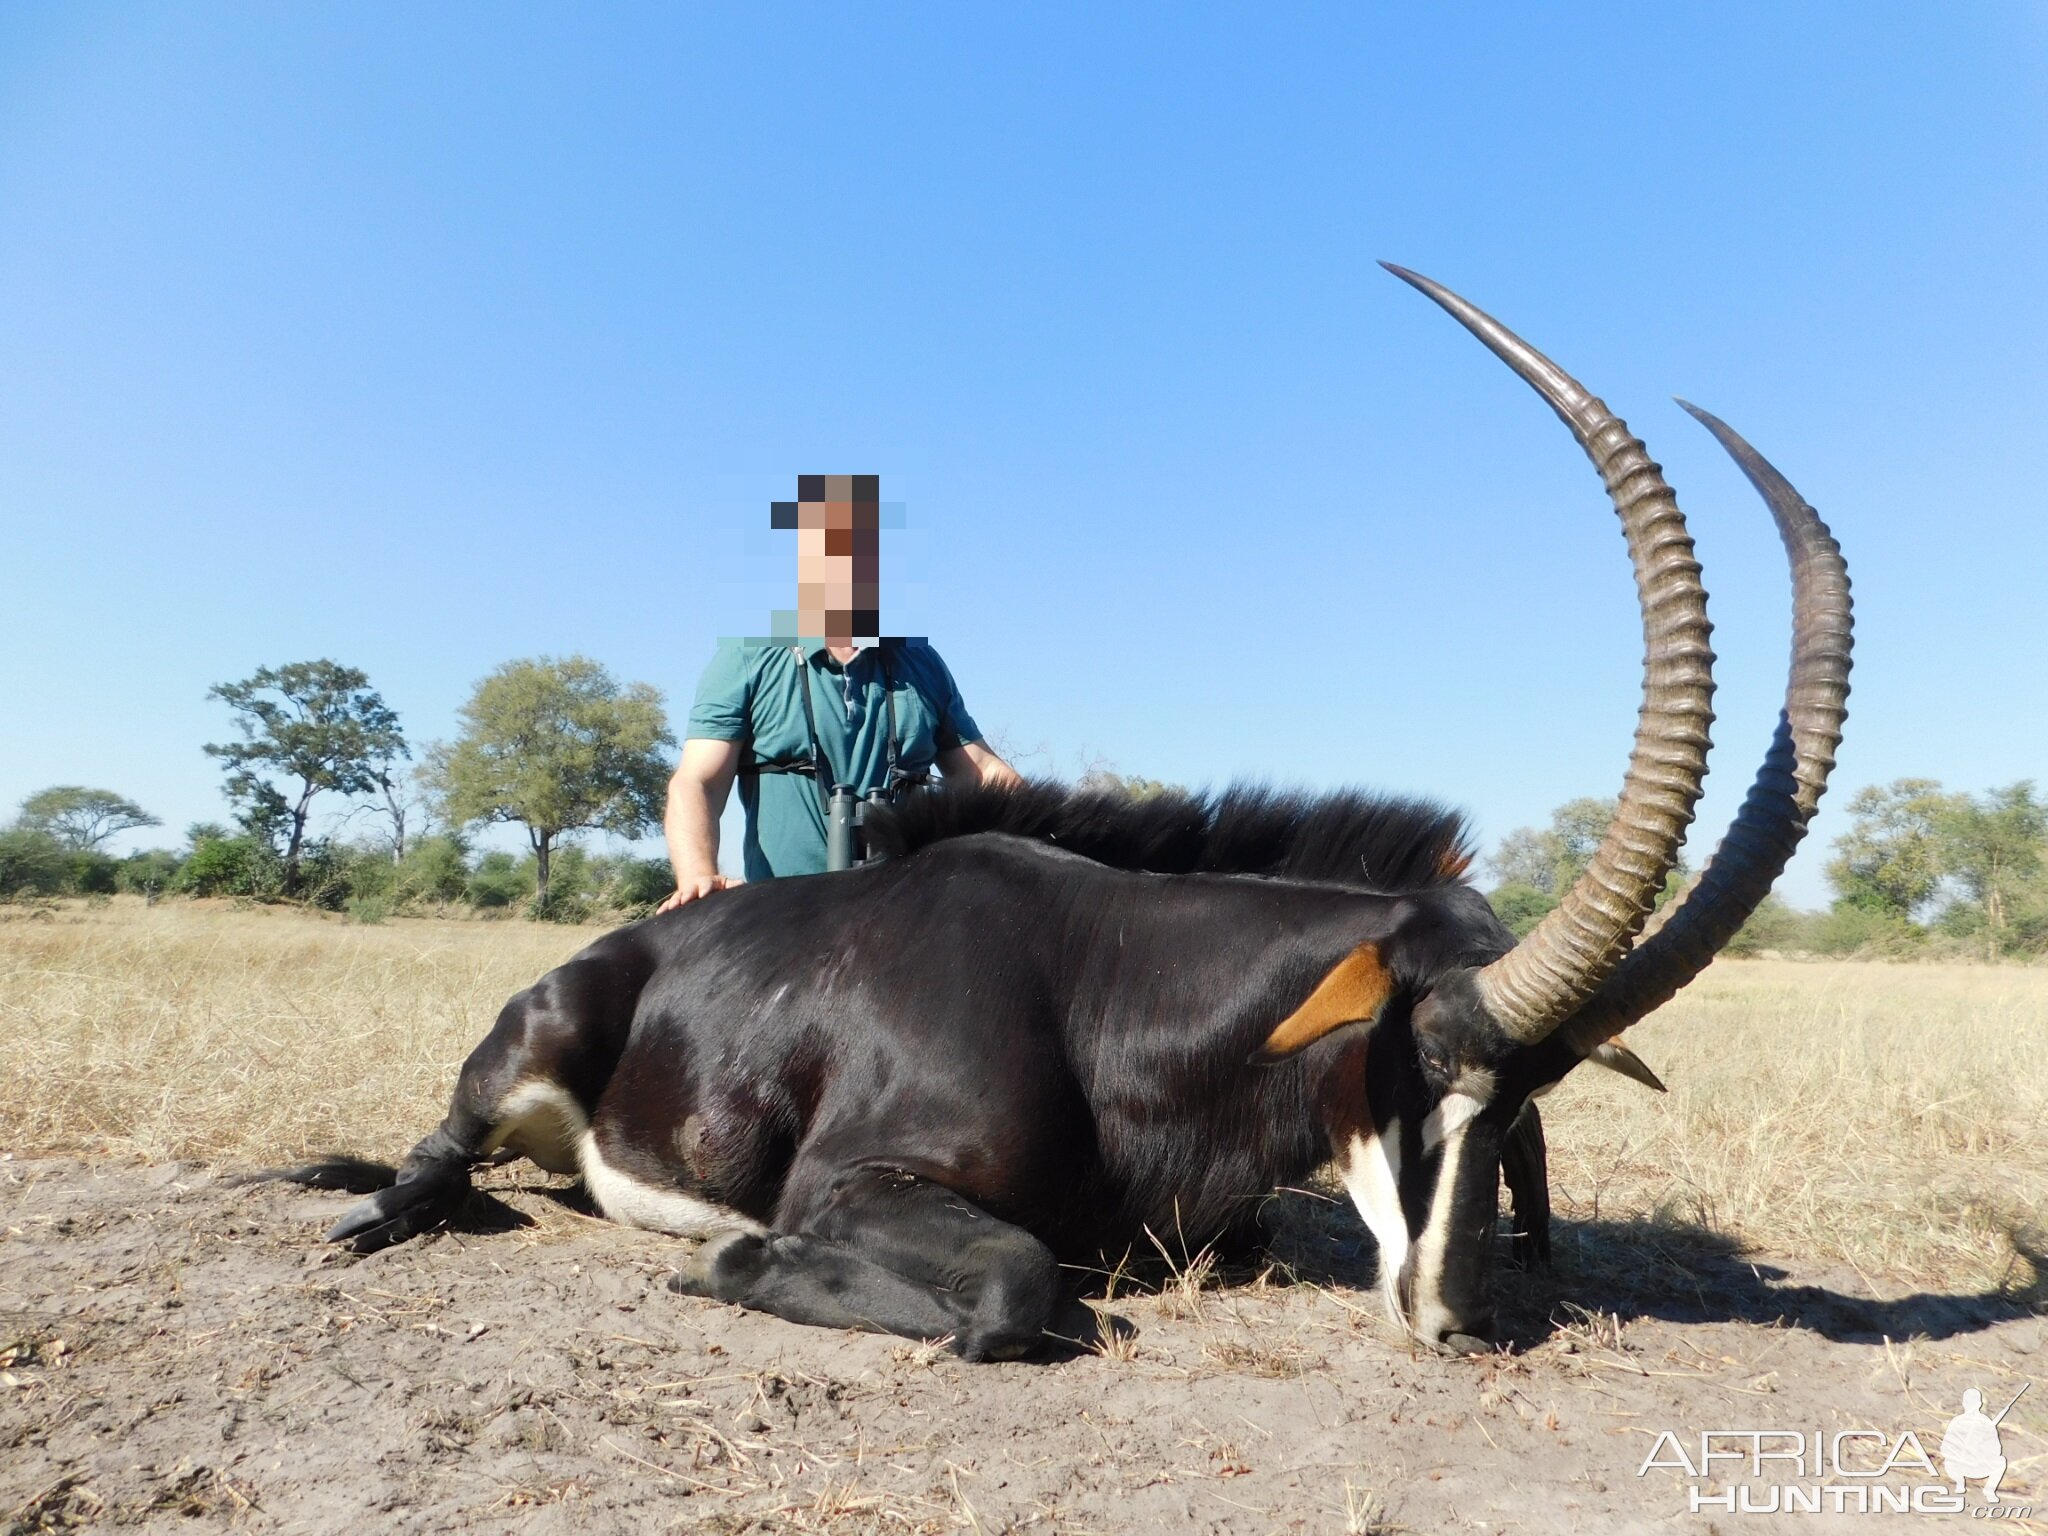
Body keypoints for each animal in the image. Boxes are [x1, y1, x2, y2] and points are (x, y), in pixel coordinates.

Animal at [276, 274, 1859, 1359]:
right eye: (1426, 1063)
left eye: (1535, 1104)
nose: (1457, 1319)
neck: (1101, 990)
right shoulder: (854, 1183)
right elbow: (1016, 1283)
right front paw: (724, 1264)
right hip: (526, 1050)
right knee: (441, 1155)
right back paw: (372, 1208)